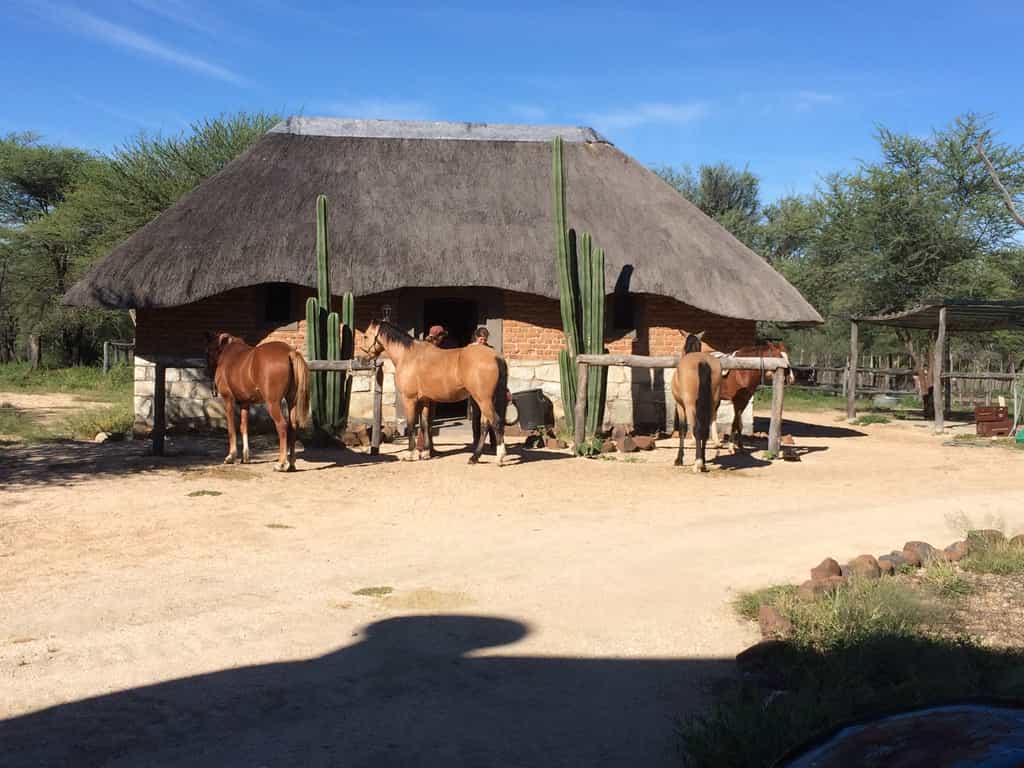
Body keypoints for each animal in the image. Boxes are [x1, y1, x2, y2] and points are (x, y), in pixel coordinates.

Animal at [205, 332, 310, 472]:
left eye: (208, 351)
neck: (227, 354)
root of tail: (289, 352)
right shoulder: (245, 403)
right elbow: (244, 427)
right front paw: (245, 458)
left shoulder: (228, 400)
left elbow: (231, 428)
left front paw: (231, 456)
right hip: (292, 401)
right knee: (293, 426)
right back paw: (291, 464)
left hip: (272, 403)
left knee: (282, 425)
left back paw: (281, 464)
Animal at [361, 319, 508, 465]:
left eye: (366, 336)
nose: (362, 359)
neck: (409, 356)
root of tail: (495, 357)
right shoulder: (425, 400)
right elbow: (425, 424)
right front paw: (426, 453)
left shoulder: (409, 399)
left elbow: (411, 424)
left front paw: (410, 455)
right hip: (487, 400)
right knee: (485, 425)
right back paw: (474, 457)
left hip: (483, 399)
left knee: (495, 422)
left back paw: (499, 457)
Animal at [671, 333, 722, 473]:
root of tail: (702, 361)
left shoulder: (680, 406)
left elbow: (682, 430)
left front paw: (679, 460)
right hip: (711, 405)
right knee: (705, 430)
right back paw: (702, 463)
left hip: (690, 406)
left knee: (696, 429)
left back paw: (698, 463)